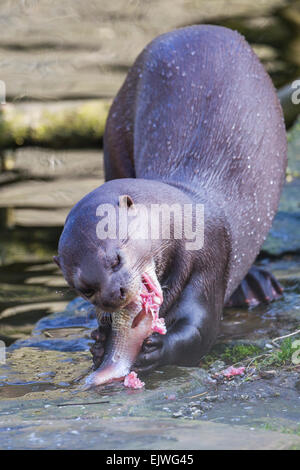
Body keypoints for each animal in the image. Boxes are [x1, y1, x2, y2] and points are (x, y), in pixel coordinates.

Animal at [54, 25, 286, 380]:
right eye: (85, 289)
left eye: (116, 259)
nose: (114, 296)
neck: (185, 216)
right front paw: (100, 341)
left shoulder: (210, 258)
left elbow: (200, 328)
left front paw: (157, 348)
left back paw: (255, 284)